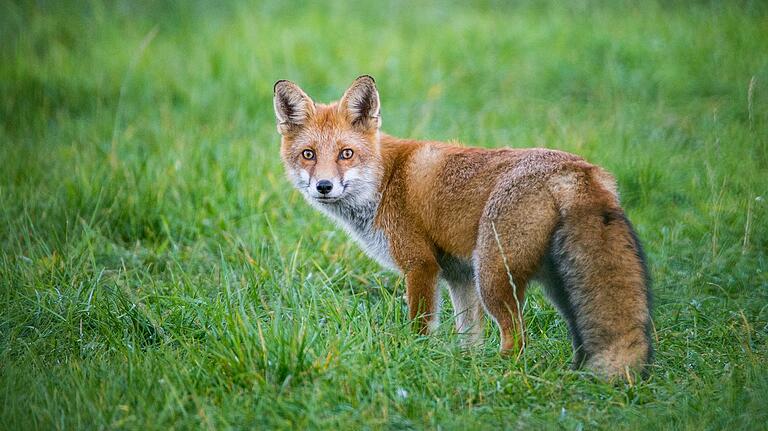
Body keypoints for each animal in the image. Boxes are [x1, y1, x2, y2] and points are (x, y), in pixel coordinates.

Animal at [272, 76, 652, 380]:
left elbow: (421, 325)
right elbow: (469, 335)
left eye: (346, 154)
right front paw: (465, 363)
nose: (323, 186)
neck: (385, 180)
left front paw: (418, 357)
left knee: (517, 339)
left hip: (494, 278)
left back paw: (499, 372)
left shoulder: (421, 265)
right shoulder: (458, 275)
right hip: (554, 285)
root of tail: (578, 168)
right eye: (308, 154)